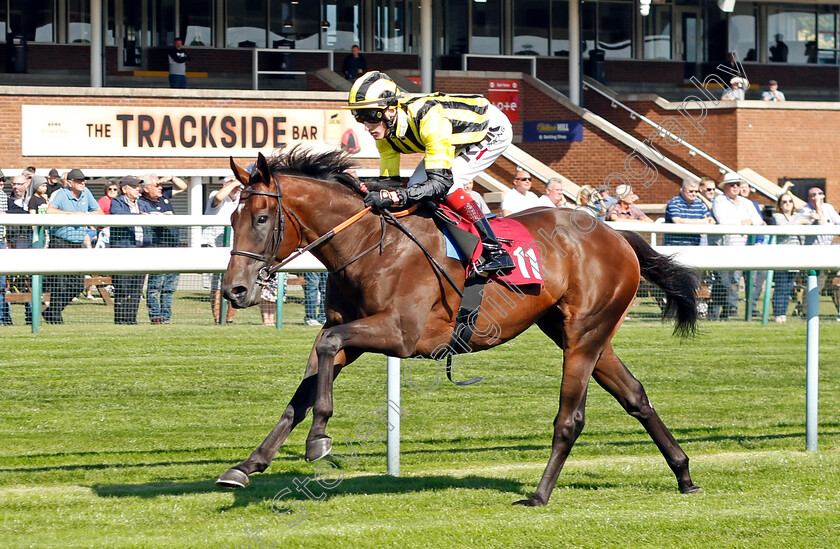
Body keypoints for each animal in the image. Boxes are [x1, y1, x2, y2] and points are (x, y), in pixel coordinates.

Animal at [218, 147, 704, 506]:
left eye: (261, 219)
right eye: (231, 219)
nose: (235, 290)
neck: (369, 244)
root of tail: (614, 233)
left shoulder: (401, 334)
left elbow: (325, 353)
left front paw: (319, 439)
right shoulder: (349, 332)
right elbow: (303, 389)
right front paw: (246, 466)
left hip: (585, 335)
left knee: (572, 417)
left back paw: (539, 494)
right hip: (577, 331)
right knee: (635, 395)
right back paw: (684, 475)